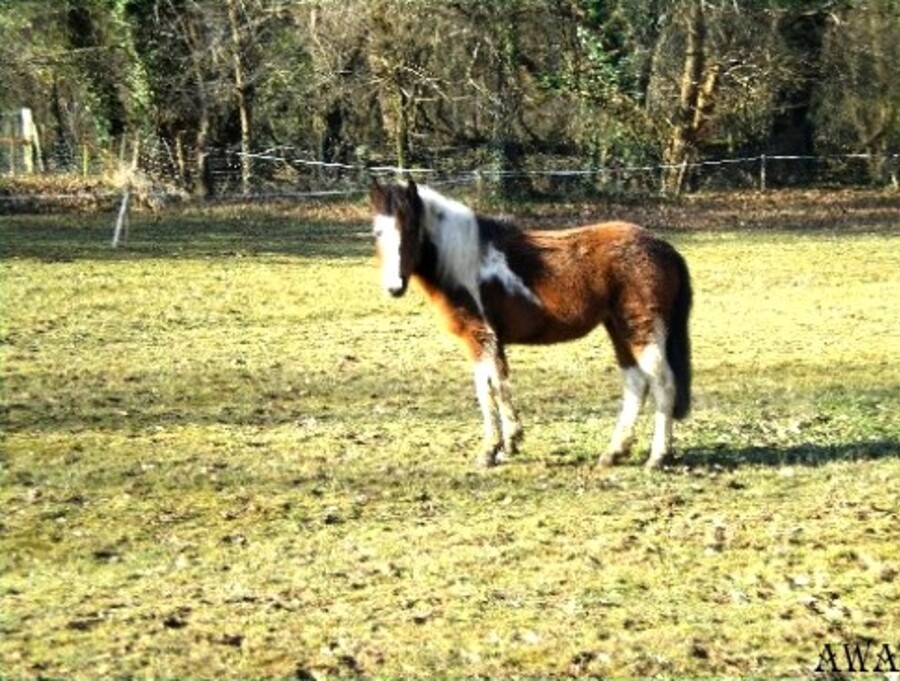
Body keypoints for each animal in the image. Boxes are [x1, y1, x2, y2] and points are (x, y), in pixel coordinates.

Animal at [370, 178, 692, 470]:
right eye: (377, 232)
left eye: (411, 229)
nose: (394, 287)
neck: (466, 261)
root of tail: (663, 246)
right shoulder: (490, 341)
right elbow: (496, 386)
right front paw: (507, 445)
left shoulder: (479, 337)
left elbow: (489, 391)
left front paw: (493, 450)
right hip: (619, 329)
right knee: (636, 382)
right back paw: (613, 453)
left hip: (641, 329)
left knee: (663, 382)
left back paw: (657, 458)